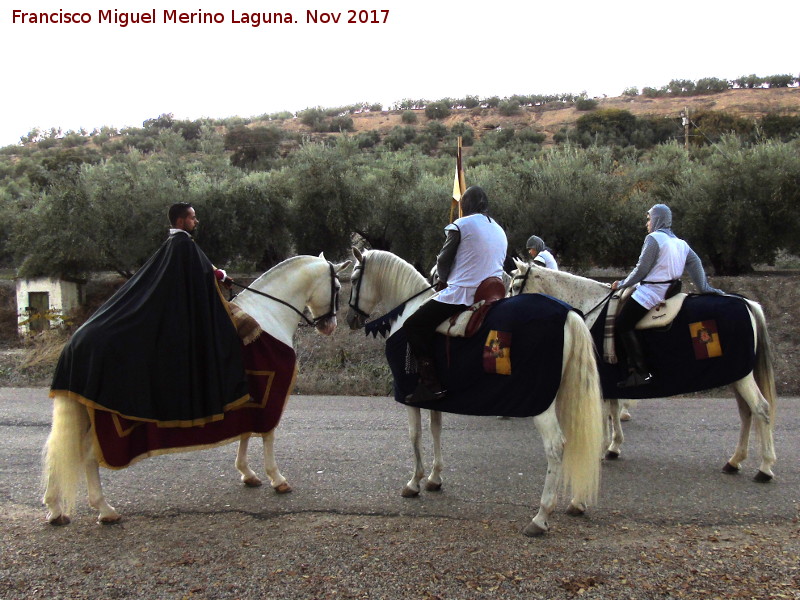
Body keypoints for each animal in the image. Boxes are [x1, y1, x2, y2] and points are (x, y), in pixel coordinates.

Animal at [42, 255, 350, 524]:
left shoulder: (250, 398)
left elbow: (245, 431)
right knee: (88, 456)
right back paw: (104, 509)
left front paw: (247, 473)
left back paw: (55, 509)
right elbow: (266, 434)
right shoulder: (269, 394)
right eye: (337, 287)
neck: (268, 315)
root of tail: (75, 343)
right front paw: (277, 479)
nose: (330, 326)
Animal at [342, 246, 600, 536]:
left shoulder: (409, 397)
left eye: (354, 279)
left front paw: (414, 481)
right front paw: (434, 478)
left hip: (542, 405)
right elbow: (436, 429)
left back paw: (541, 516)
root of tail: (567, 313)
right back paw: (577, 502)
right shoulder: (435, 396)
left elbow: (415, 434)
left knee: (556, 447)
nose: (351, 319)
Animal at [510, 260, 780, 480]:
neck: (592, 308)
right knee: (746, 414)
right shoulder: (610, 379)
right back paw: (735, 461)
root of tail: (746, 303)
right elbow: (614, 408)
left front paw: (602, 448)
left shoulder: (601, 378)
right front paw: (614, 447)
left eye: (515, 286)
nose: (506, 307)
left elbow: (606, 412)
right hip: (737, 375)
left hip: (743, 377)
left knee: (761, 409)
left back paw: (765, 467)